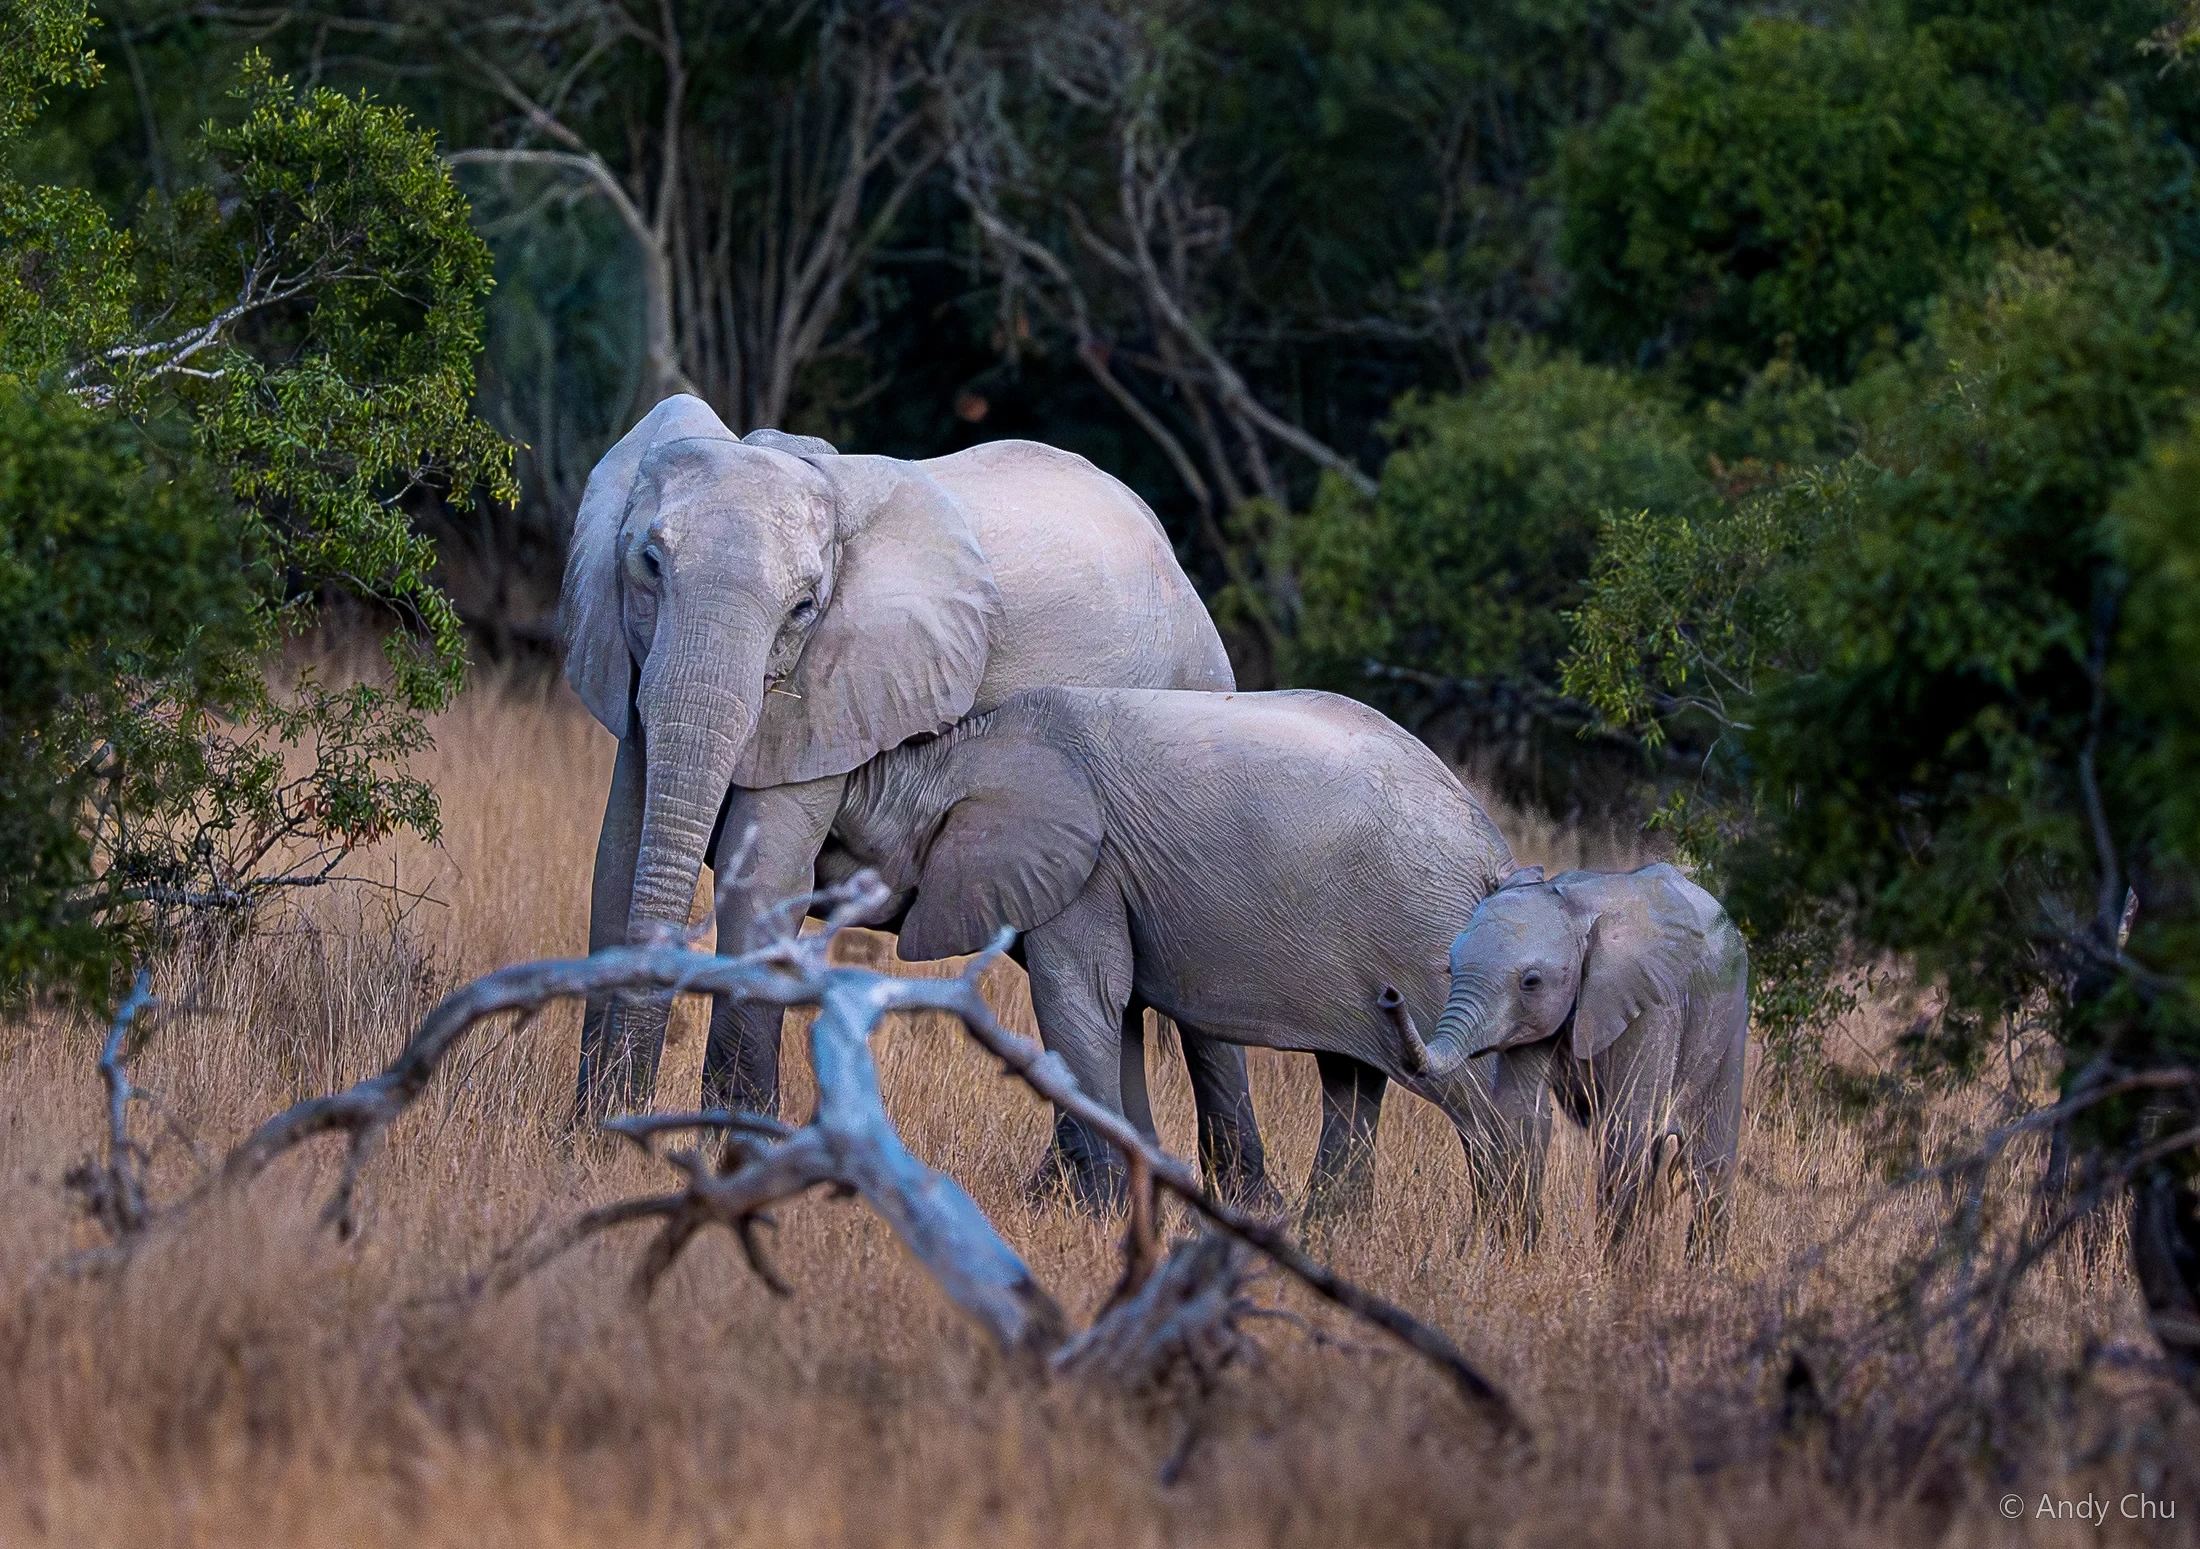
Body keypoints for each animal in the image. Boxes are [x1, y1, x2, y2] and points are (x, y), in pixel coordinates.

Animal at [560, 394, 1276, 1204]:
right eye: (649, 564)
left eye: (804, 607)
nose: (624, 1124)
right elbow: (619, 857)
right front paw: (587, 1139)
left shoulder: (844, 683)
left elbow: (765, 877)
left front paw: (735, 1154)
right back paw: (1071, 1194)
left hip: (1197, 692)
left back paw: (1237, 1198)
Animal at [813, 684, 1522, 1214]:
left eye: (837, 844)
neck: (962, 748)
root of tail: (1494, 853)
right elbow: (1116, 1016)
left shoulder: (1090, 870)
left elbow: (1079, 1006)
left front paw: (1097, 1215)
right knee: (1351, 1079)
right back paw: (1325, 1234)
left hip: (1427, 939)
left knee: (1469, 1094)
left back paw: (1498, 1246)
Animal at [1403, 863, 1749, 1257]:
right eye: (1450, 969)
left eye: (1531, 981)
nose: (1389, 998)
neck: (1577, 909)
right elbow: (1520, 1115)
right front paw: (1517, 1257)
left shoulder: (1653, 1002)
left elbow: (1628, 1127)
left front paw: (1613, 1269)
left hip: (1732, 1018)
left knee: (1710, 1166)